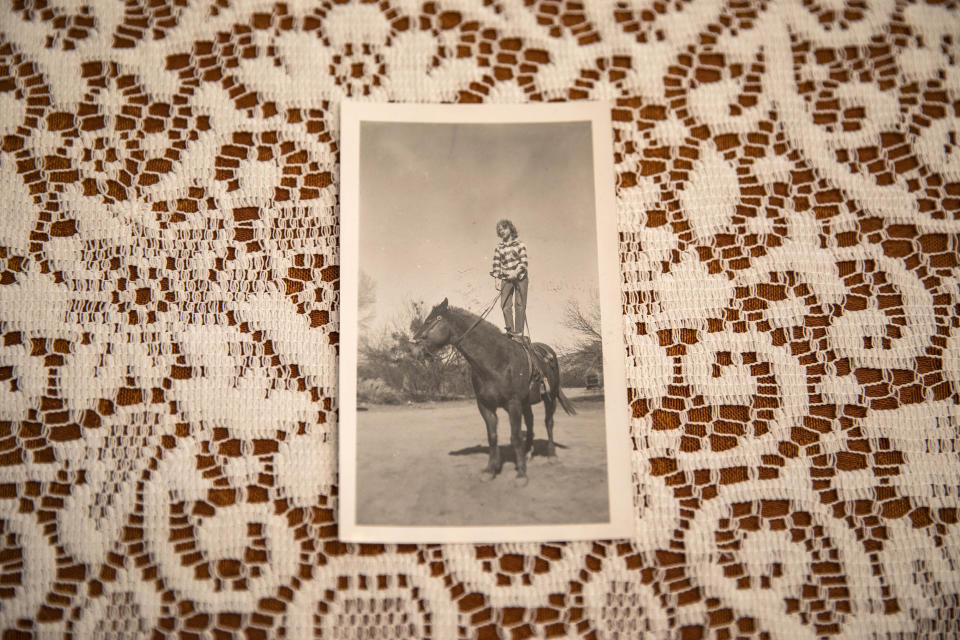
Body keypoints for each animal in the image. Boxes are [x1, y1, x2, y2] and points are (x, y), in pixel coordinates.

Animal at [408, 298, 572, 484]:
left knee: (548, 423)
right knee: (530, 422)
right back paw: (528, 451)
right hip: (527, 403)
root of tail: (549, 353)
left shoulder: (513, 404)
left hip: (550, 398)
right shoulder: (485, 406)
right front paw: (490, 470)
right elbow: (492, 437)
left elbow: (515, 437)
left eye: (430, 321)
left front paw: (521, 474)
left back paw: (551, 455)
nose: (411, 349)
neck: (496, 360)